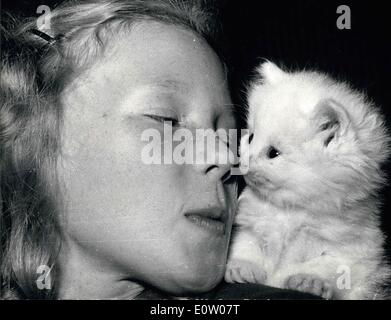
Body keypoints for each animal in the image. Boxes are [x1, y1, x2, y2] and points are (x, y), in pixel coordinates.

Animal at [227, 61, 391, 298]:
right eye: (250, 138)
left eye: (273, 153)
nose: (243, 163)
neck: (290, 209)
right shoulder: (249, 226)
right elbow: (245, 245)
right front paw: (241, 268)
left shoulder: (356, 251)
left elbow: (326, 267)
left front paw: (308, 280)